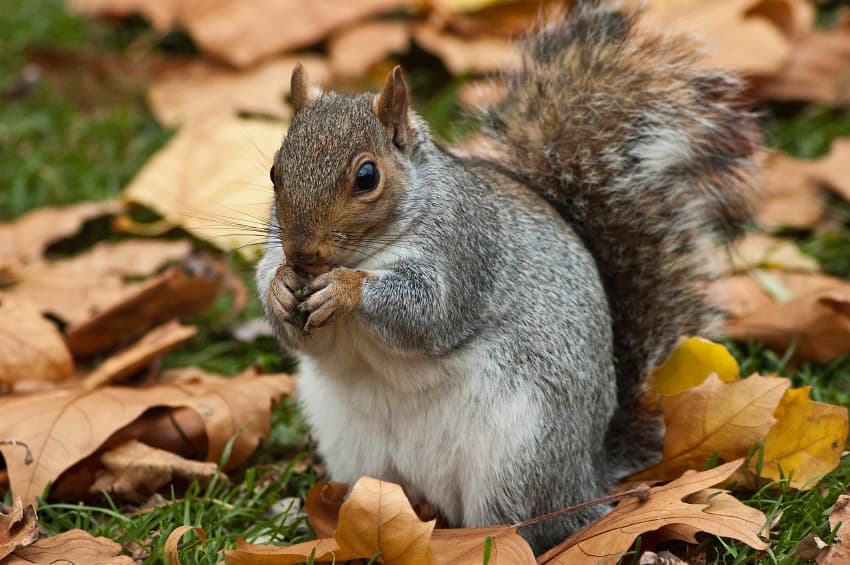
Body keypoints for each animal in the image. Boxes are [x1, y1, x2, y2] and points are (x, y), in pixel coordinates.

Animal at [256, 0, 757, 553]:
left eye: (367, 177)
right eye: (275, 172)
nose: (302, 255)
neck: (369, 249)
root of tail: (587, 475)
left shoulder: (465, 252)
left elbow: (427, 310)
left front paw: (347, 289)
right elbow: (303, 334)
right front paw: (278, 289)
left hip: (519, 454)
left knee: (523, 526)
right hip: (357, 449)